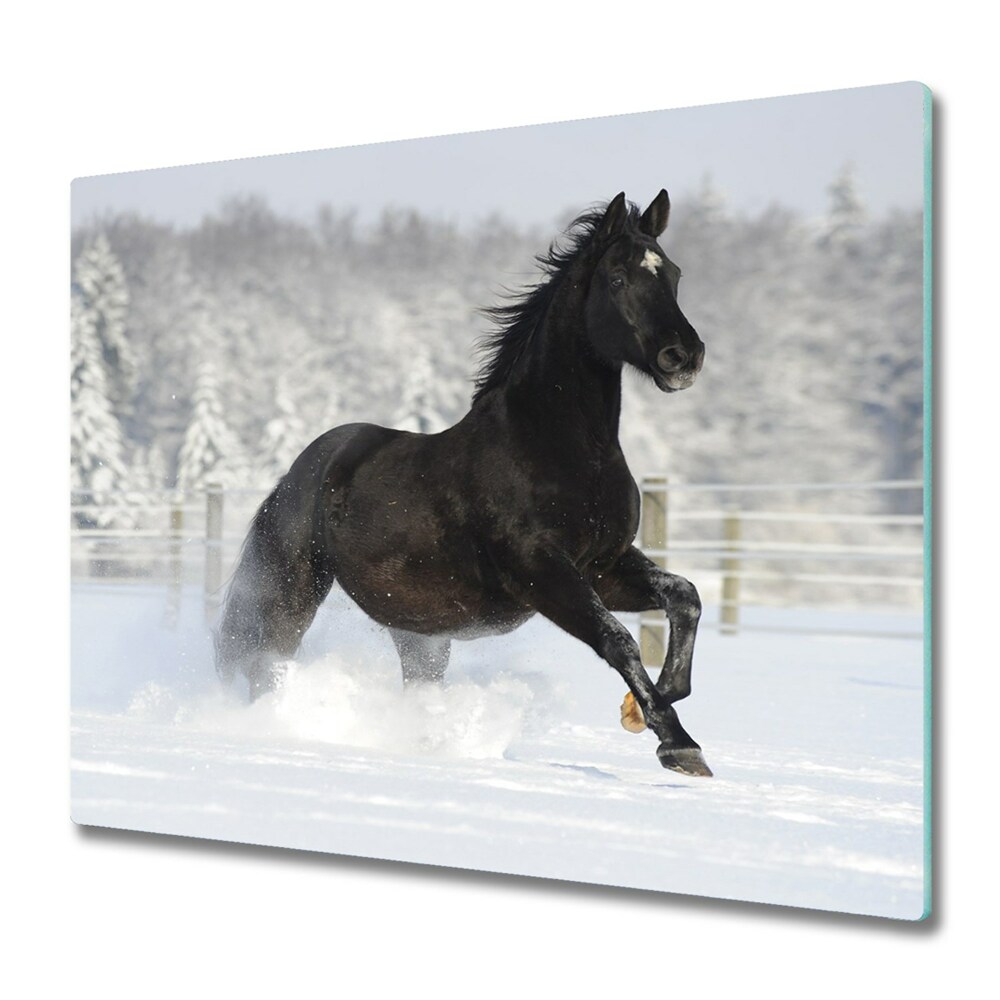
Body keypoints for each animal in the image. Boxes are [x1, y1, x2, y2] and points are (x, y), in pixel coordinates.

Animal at [215, 190, 711, 775]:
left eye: (673, 274)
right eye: (617, 278)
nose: (683, 356)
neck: (558, 447)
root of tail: (302, 469)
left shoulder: (603, 566)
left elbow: (684, 596)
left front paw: (651, 704)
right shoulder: (541, 572)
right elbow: (617, 640)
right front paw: (677, 744)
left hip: (420, 634)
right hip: (294, 590)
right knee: (264, 663)